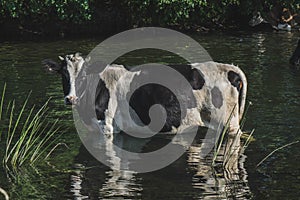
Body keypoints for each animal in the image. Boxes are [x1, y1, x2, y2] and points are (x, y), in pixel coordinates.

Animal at [42, 53, 248, 138]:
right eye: (63, 74)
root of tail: (229, 67)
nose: (71, 98)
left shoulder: (107, 126)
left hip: (228, 122)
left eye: (84, 75)